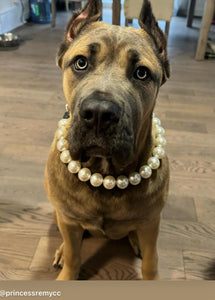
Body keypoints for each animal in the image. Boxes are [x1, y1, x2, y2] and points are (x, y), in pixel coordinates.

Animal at [45, 0, 170, 280]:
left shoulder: (151, 222)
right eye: (80, 63)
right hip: (61, 215)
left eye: (142, 73)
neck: (105, 173)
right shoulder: (68, 220)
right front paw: (67, 269)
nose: (100, 114)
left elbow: (152, 261)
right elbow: (74, 255)